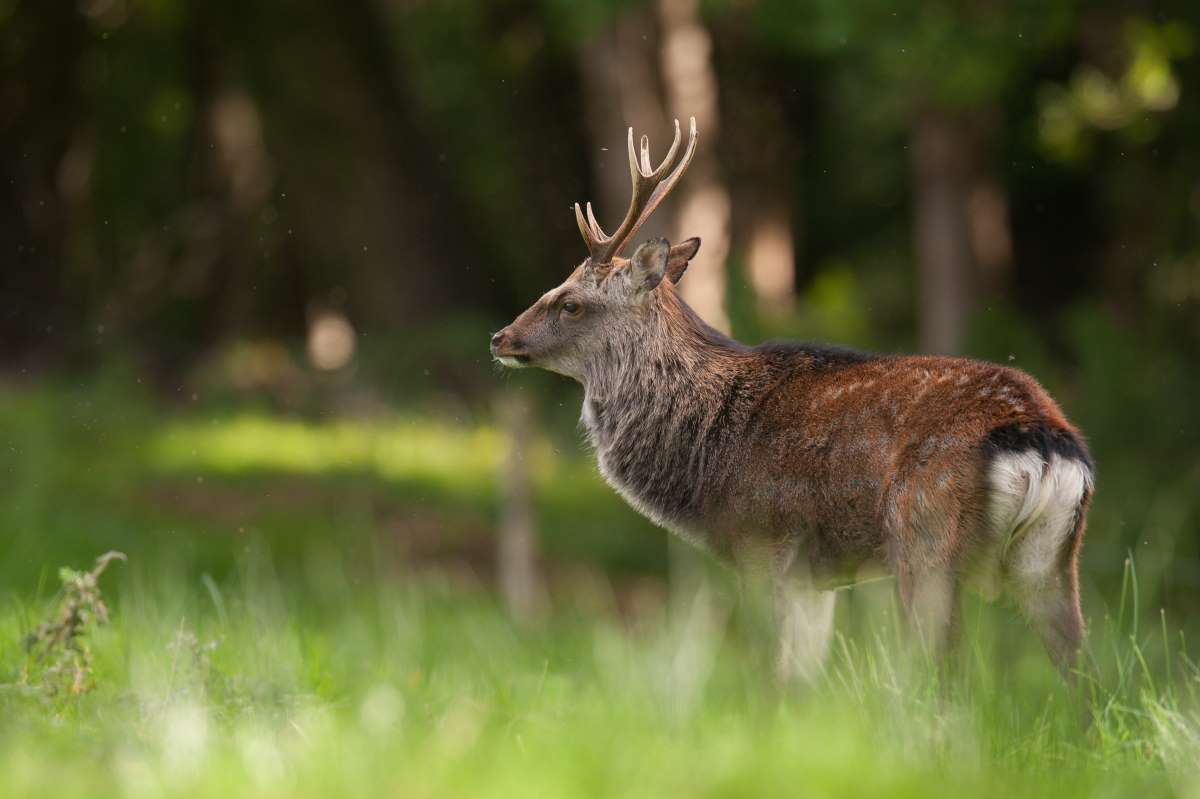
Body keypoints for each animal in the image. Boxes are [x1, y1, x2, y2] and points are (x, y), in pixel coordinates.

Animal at [489, 118, 1099, 676]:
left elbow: (773, 673)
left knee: (948, 671)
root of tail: (1041, 438)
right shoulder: (816, 575)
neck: (703, 456)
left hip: (924, 540)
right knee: (1080, 672)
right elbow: (803, 678)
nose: (500, 337)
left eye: (569, 303)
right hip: (1053, 559)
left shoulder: (764, 542)